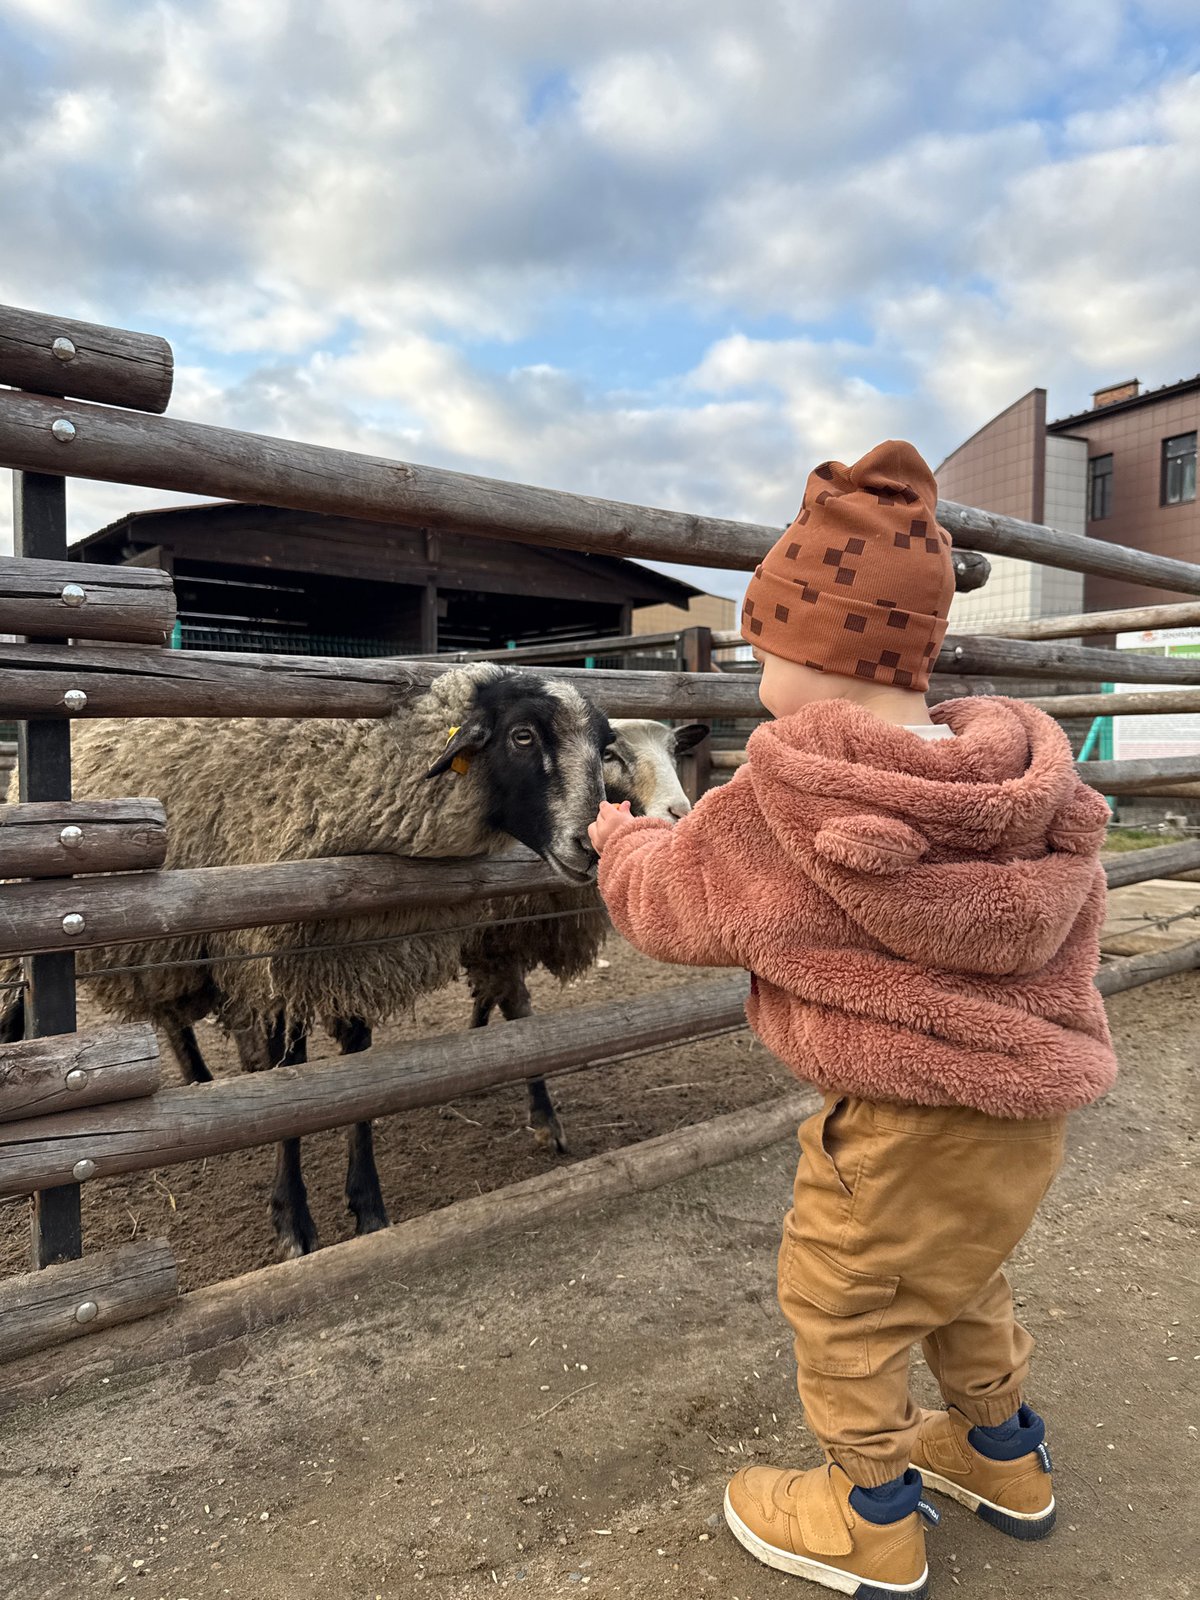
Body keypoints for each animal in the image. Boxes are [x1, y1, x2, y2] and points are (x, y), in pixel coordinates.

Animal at [1, 664, 612, 1258]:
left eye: (604, 748)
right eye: (522, 735)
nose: (592, 846)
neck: (350, 776)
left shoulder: (352, 958)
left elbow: (357, 1072)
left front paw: (368, 1205)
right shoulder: (272, 962)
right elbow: (291, 1082)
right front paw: (293, 1220)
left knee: (173, 1016)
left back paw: (205, 1082)